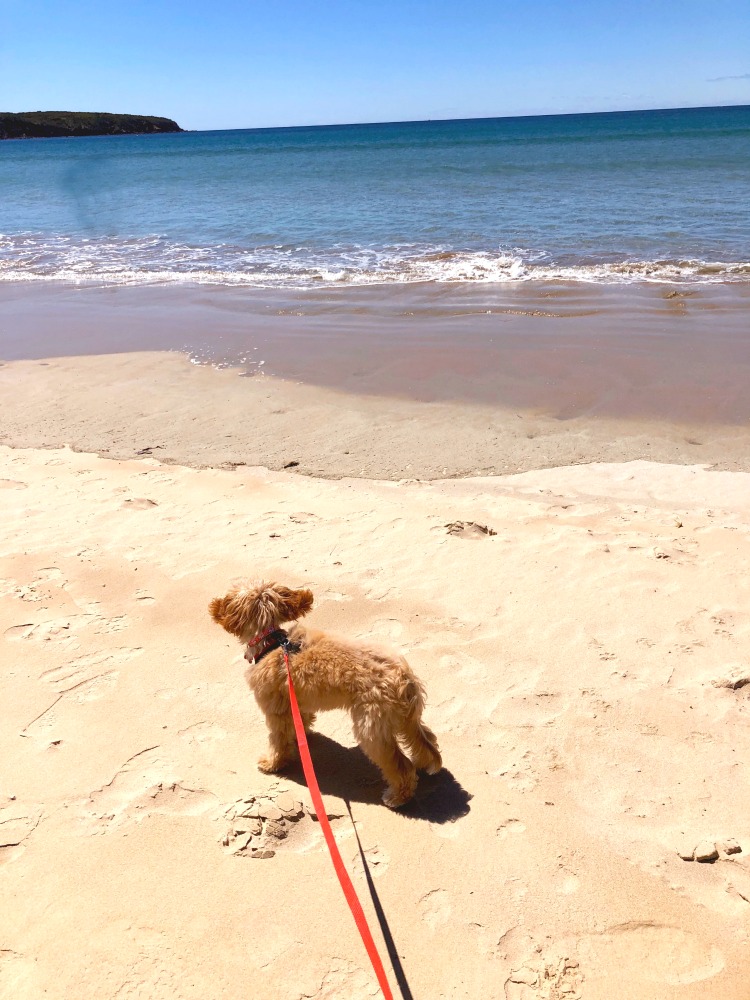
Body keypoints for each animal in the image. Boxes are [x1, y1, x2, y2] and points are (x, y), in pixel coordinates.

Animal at [209, 584, 444, 808]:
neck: (273, 644)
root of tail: (403, 678)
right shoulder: (297, 703)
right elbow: (301, 722)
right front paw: (301, 736)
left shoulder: (276, 712)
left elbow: (278, 741)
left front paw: (272, 763)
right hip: (406, 720)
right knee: (426, 741)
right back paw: (424, 764)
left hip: (371, 729)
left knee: (401, 767)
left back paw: (398, 797)